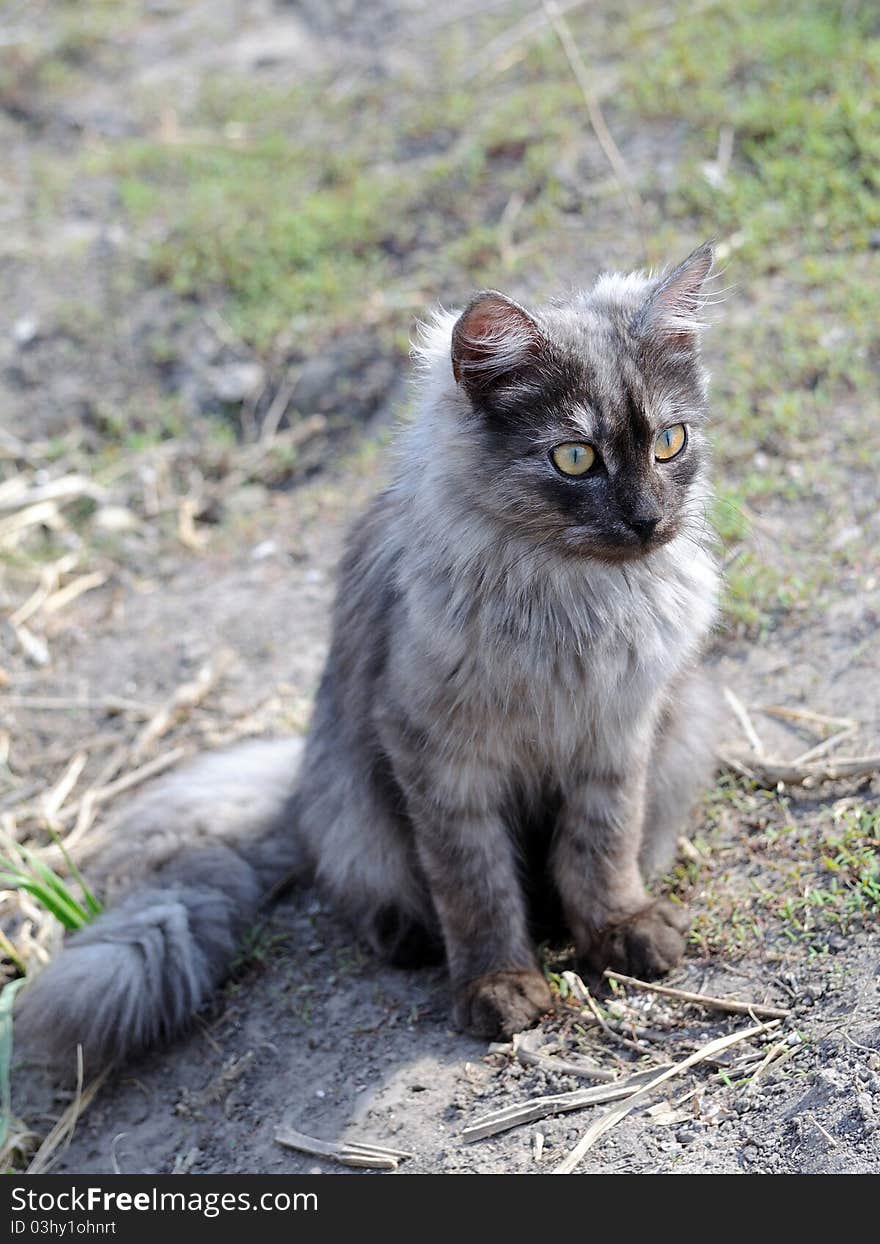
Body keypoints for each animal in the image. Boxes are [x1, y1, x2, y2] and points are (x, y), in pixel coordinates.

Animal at [17, 242, 721, 1069]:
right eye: (576, 458)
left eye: (670, 443)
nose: (647, 520)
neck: (574, 602)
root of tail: (295, 791)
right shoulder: (438, 756)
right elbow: (475, 886)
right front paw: (498, 985)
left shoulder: (616, 736)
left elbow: (601, 849)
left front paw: (619, 929)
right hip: (356, 805)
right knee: (364, 883)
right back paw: (406, 936)